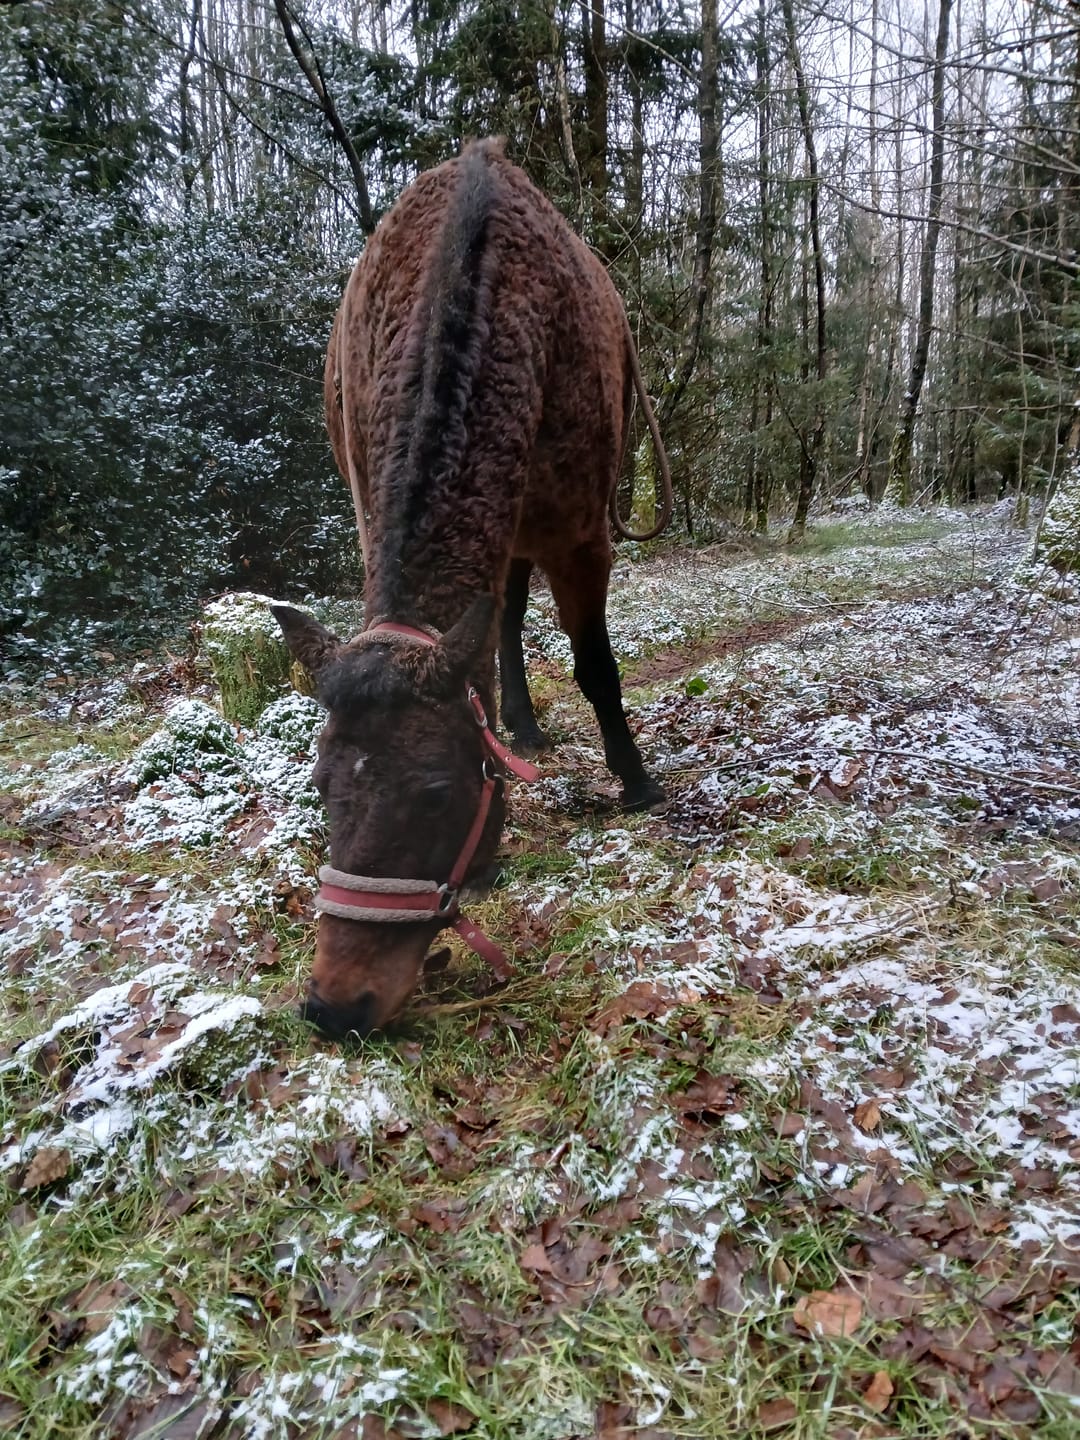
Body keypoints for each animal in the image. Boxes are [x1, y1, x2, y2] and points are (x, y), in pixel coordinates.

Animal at [273, 140, 671, 1038]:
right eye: (319, 786)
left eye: (436, 793)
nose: (334, 1004)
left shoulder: (580, 534)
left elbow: (597, 669)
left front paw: (634, 781)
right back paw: (519, 721)